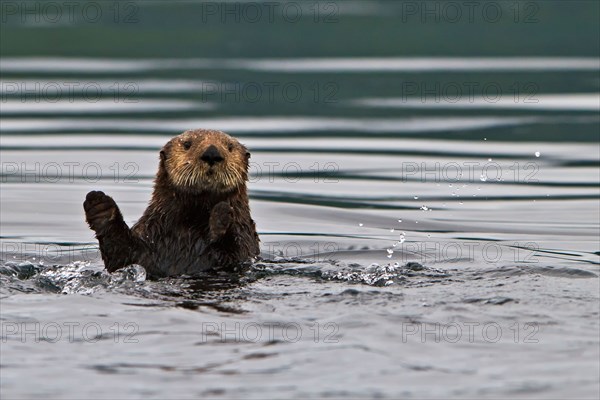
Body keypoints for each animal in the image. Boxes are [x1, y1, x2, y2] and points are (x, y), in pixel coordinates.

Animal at [84, 129, 260, 278]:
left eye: (230, 147)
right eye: (187, 144)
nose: (212, 153)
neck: (193, 222)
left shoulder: (246, 238)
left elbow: (237, 254)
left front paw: (222, 214)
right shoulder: (147, 235)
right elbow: (119, 256)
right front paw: (101, 207)